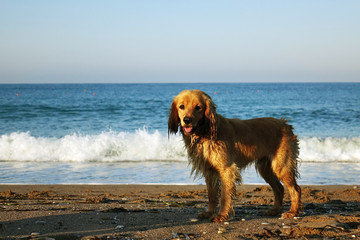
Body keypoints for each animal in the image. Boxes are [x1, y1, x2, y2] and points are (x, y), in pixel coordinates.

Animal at [168, 89, 300, 223]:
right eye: (181, 106)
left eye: (198, 107)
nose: (187, 120)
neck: (206, 131)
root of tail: (285, 124)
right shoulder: (209, 171)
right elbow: (211, 195)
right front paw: (209, 213)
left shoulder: (226, 169)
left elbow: (225, 196)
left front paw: (222, 215)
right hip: (265, 169)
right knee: (279, 188)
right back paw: (275, 210)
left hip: (281, 166)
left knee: (296, 189)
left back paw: (292, 212)